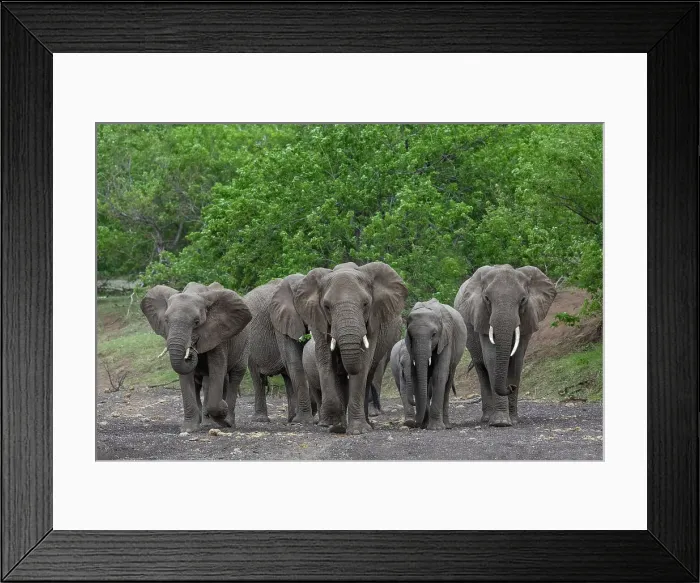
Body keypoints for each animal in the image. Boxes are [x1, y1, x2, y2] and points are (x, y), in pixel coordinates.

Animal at [140, 282, 252, 433]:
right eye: (166, 320)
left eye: (197, 322)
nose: (192, 347)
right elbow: (186, 377)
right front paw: (189, 428)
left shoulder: (219, 335)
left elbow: (217, 367)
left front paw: (223, 412)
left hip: (244, 345)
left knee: (235, 377)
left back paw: (228, 422)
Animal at [244, 274, 314, 425]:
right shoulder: (279, 321)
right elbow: (295, 362)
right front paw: (304, 421)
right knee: (257, 378)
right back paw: (261, 420)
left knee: (287, 376)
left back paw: (291, 418)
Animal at [293, 262, 407, 435]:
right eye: (326, 306)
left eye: (366, 304)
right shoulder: (318, 319)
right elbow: (325, 361)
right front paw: (334, 424)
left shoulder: (373, 320)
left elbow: (363, 364)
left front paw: (358, 430)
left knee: (369, 374)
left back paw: (367, 424)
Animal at [402, 299, 467, 430]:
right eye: (410, 336)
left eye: (434, 334)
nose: (414, 424)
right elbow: (416, 375)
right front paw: (424, 424)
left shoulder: (446, 338)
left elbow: (439, 374)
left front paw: (436, 427)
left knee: (448, 380)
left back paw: (446, 425)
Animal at [454, 265, 556, 427]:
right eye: (487, 299)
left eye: (523, 300)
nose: (511, 387)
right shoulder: (482, 316)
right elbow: (491, 359)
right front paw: (500, 422)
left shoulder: (527, 317)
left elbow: (517, 361)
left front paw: (513, 420)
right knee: (481, 367)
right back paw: (487, 418)